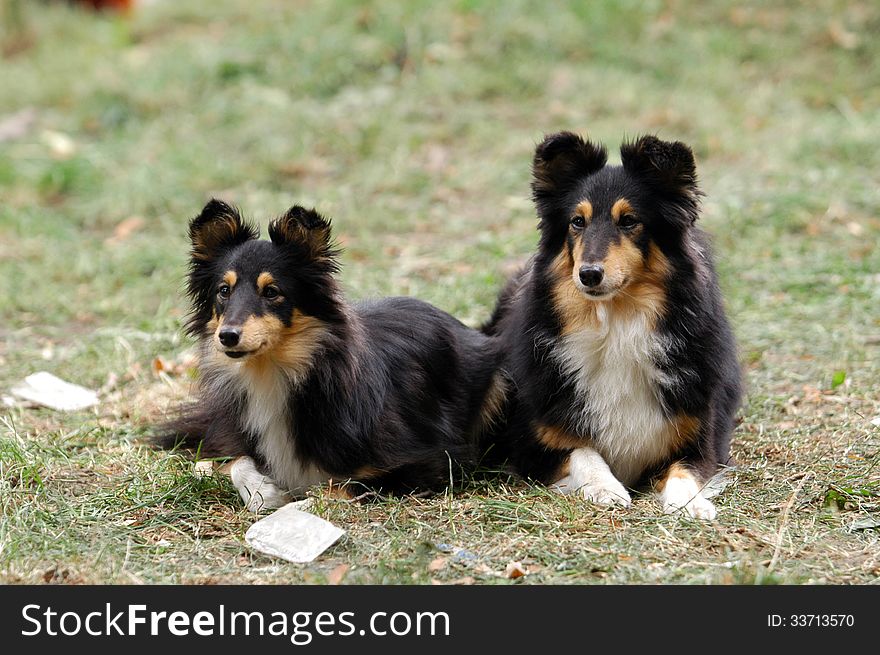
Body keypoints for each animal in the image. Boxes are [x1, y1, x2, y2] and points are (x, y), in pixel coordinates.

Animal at [157, 200, 502, 508]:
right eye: (223, 291)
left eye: (272, 292)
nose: (227, 337)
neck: (273, 372)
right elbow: (235, 461)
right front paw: (264, 492)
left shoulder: (430, 460)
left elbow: (335, 486)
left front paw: (297, 507)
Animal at [484, 133, 744, 520]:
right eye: (577, 221)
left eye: (629, 221)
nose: (589, 274)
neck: (615, 325)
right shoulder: (532, 444)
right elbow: (583, 452)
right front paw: (605, 488)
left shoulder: (700, 439)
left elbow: (685, 470)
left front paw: (690, 504)